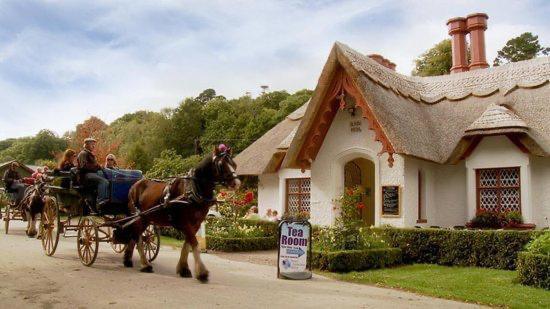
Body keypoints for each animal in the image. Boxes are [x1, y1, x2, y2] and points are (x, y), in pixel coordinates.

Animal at [121, 144, 242, 280]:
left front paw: (183, 269)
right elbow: (194, 243)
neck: (193, 190)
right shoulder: (185, 222)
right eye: (221, 165)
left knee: (135, 236)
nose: (237, 183)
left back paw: (128, 260)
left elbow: (187, 244)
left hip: (146, 218)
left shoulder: (196, 223)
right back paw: (145, 264)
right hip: (139, 217)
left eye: (234, 164)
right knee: (138, 237)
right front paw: (202, 272)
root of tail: (135, 185)